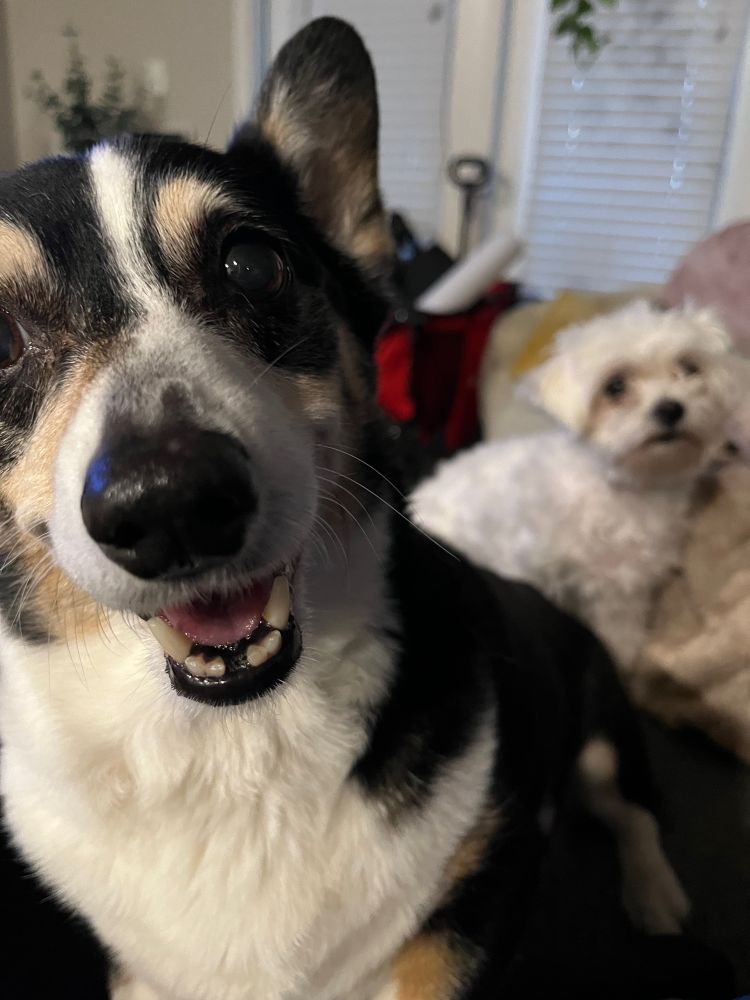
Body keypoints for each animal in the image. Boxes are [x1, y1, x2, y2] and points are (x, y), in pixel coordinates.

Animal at [0, 19, 689, 1000]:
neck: (230, 741)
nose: (173, 505)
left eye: (253, 264)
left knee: (631, 805)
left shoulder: (481, 889)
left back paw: (658, 896)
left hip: (602, 723)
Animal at [412, 302, 735, 673]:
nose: (671, 408)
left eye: (689, 368)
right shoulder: (528, 567)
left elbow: (618, 635)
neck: (622, 488)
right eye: (615, 386)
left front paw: (619, 663)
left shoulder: (623, 588)